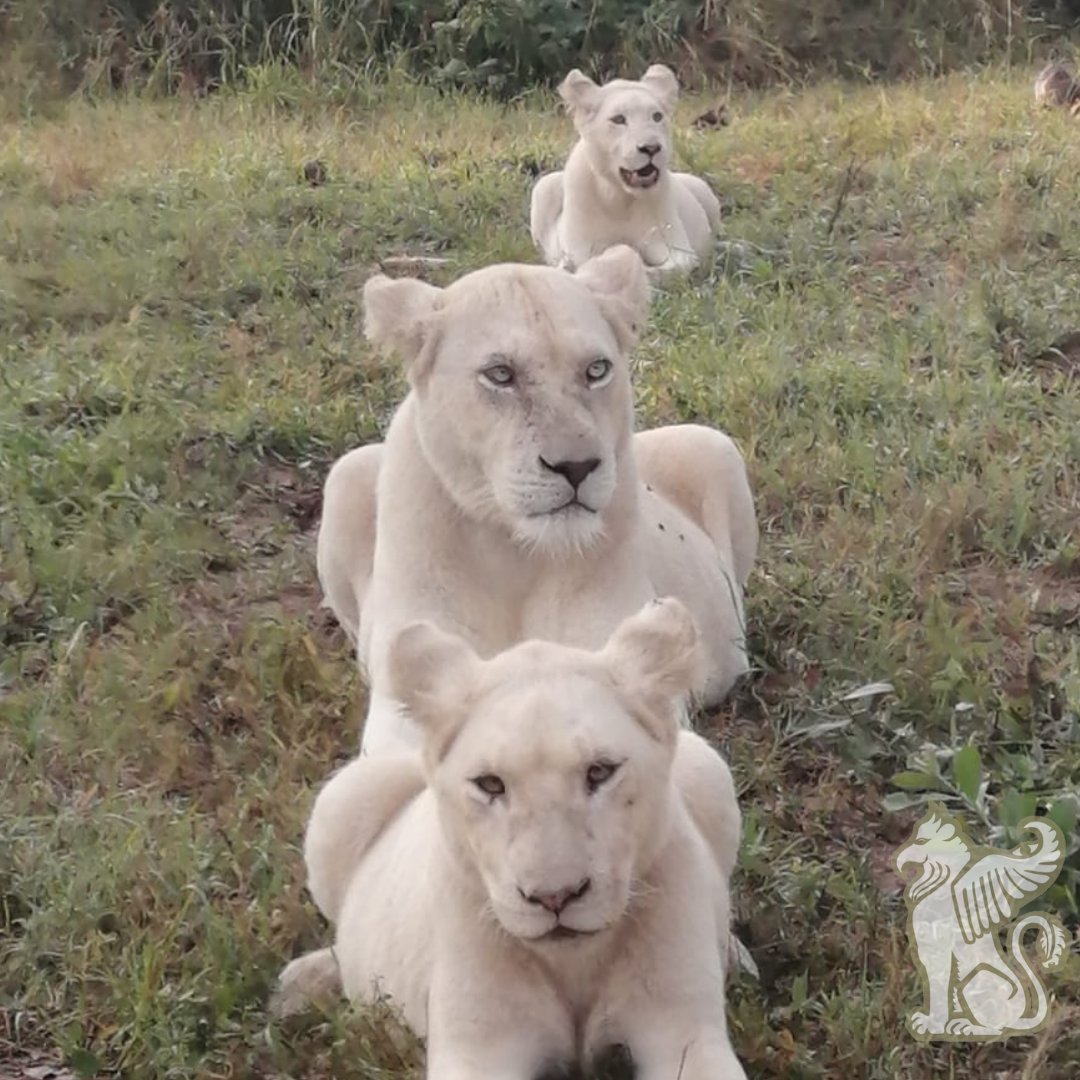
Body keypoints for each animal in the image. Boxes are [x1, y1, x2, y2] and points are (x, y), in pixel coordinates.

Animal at [277, 598, 748, 1080]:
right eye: (490, 784)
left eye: (600, 771)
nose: (555, 897)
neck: (573, 964)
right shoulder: (480, 1043)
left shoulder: (683, 1028)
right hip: (343, 798)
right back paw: (302, 985)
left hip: (708, 766)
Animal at [316, 245, 757, 755]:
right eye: (500, 374)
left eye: (596, 370)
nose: (577, 467)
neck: (514, 558)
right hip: (347, 472)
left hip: (714, 446)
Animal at [529, 65, 721, 275]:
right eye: (619, 119)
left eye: (657, 116)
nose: (651, 148)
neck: (619, 199)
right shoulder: (581, 249)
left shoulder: (677, 248)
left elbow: (666, 268)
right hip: (544, 185)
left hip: (703, 190)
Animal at [895, 803, 1068, 1040]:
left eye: (921, 841)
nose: (900, 859)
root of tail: (1019, 1016)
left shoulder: (940, 955)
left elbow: (939, 992)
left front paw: (932, 1025)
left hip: (976, 980)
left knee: (997, 1028)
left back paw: (967, 1027)